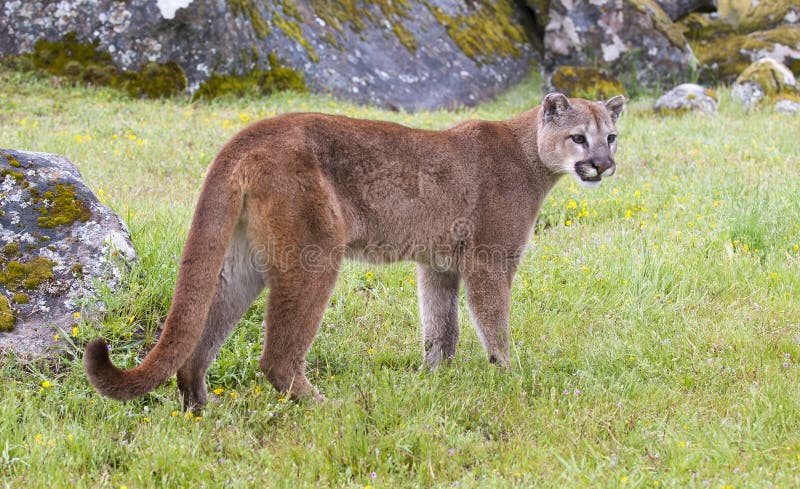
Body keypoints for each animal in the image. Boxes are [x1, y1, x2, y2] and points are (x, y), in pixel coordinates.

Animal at [86, 91, 624, 408]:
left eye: (612, 136)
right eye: (579, 138)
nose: (603, 164)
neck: (531, 155)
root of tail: (249, 132)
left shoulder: (439, 266)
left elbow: (441, 328)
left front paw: (433, 379)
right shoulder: (490, 259)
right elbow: (492, 321)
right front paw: (508, 375)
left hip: (242, 262)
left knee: (199, 341)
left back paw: (201, 408)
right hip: (314, 253)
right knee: (275, 358)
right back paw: (323, 407)